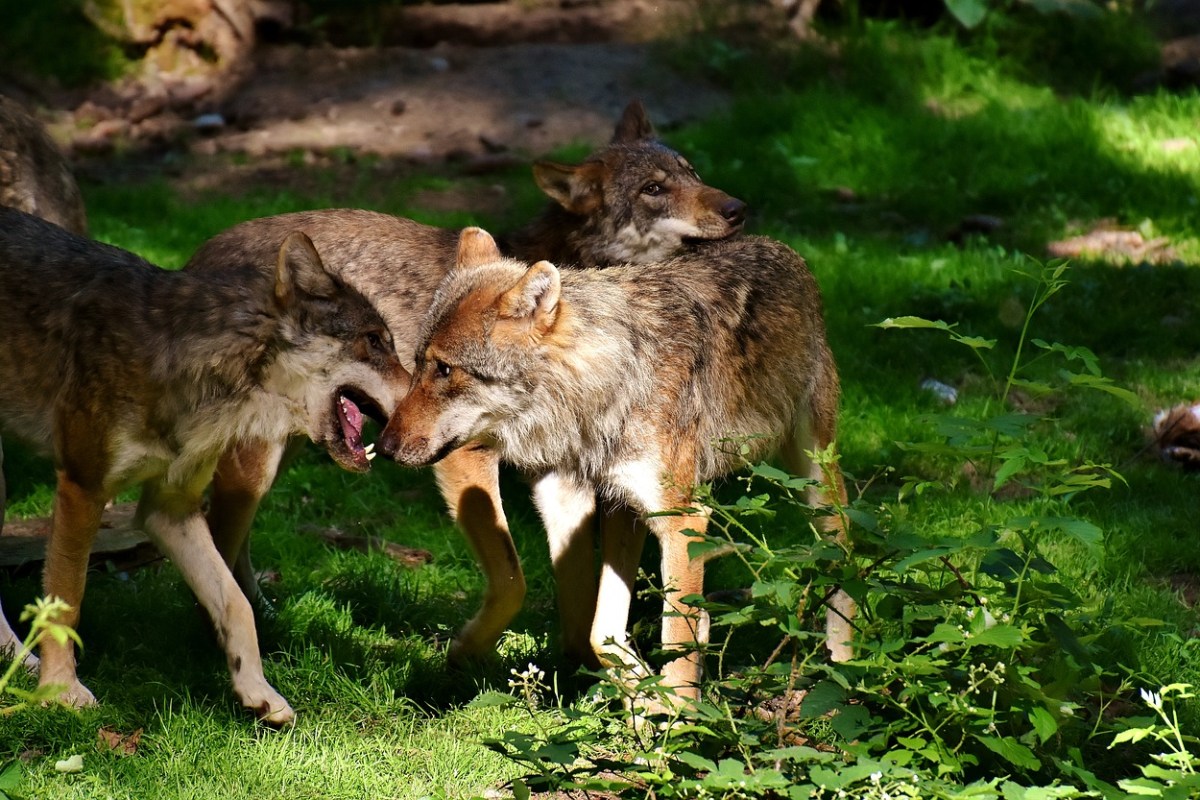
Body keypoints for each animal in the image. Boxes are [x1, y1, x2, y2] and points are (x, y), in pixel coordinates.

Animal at [0, 208, 407, 724]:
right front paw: (61, 690)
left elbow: (236, 603)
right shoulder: (82, 486)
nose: (427, 391)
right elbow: (66, 601)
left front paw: (258, 691)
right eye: (374, 341)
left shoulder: (169, 509)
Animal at [184, 100, 747, 667]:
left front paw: (584, 670)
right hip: (259, 463)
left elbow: (579, 593)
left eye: (692, 172)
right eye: (654, 189)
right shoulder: (464, 457)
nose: (738, 208)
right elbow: (514, 582)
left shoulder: (561, 475)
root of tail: (192, 261)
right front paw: (464, 654)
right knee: (217, 535)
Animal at [376, 227, 854, 702]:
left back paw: (847, 670)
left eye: (444, 369)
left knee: (844, 557)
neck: (604, 387)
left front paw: (675, 717)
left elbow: (675, 647)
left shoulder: (682, 520)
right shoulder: (576, 501)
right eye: (417, 364)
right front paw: (641, 694)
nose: (384, 446)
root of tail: (782, 248)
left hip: (814, 483)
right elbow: (596, 631)